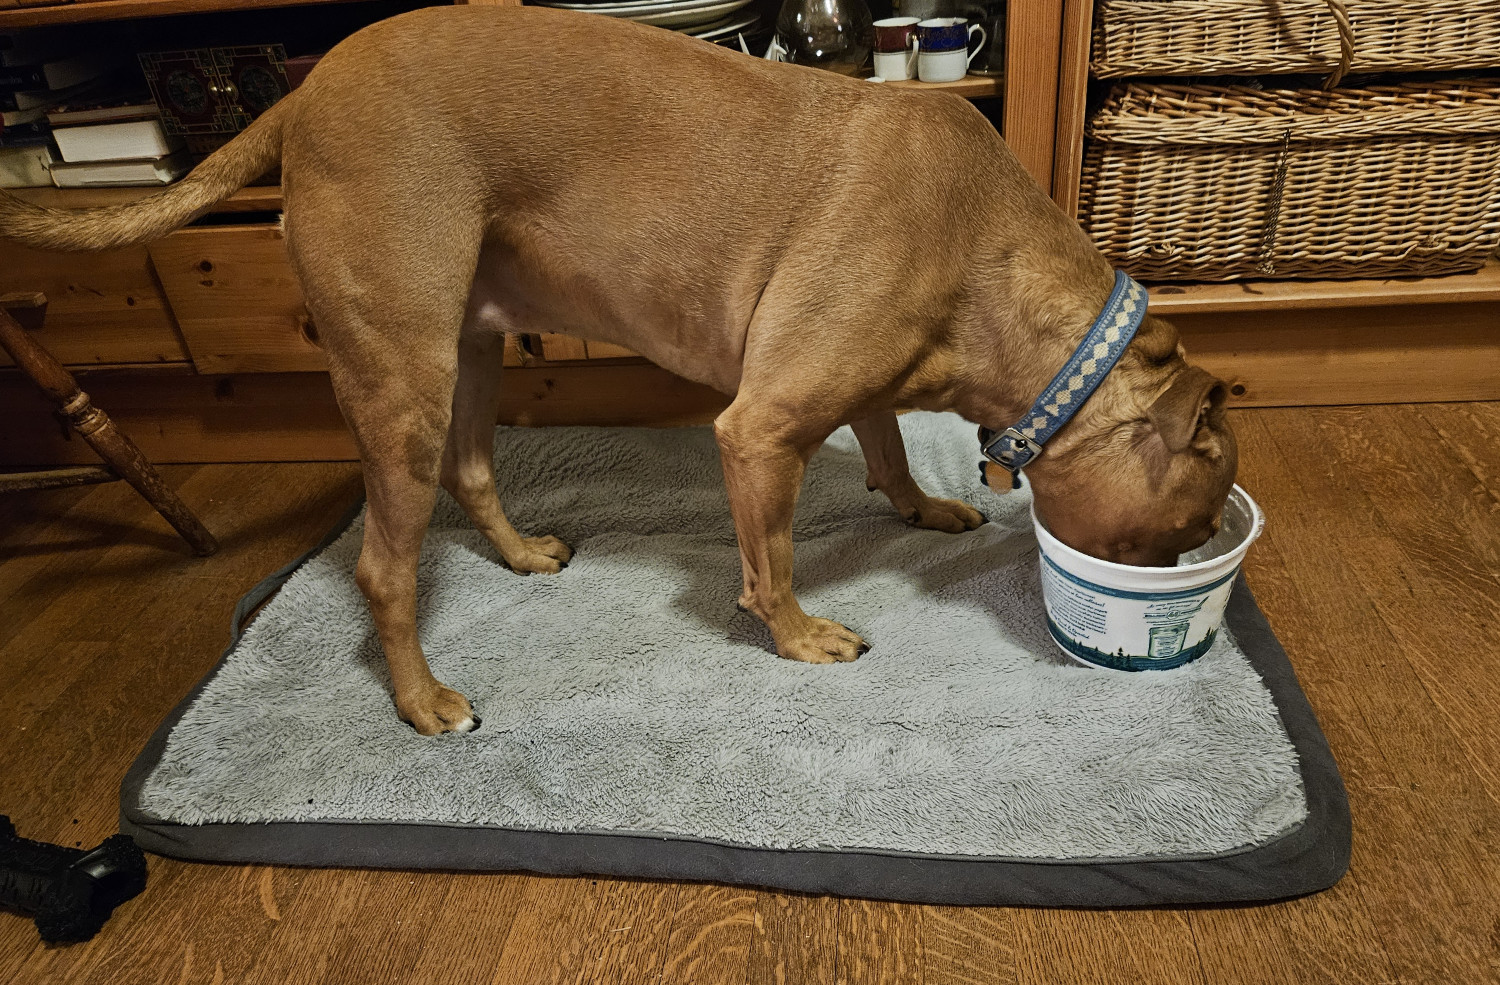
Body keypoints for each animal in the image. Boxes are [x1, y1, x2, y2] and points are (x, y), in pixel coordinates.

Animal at [0, 5, 1230, 728]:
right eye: (1186, 527)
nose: (1176, 576)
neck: (991, 263)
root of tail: (302, 89)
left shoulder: (846, 388)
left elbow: (884, 450)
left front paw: (922, 506)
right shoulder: (761, 427)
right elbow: (772, 560)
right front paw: (798, 637)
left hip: (473, 349)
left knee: (474, 472)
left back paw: (520, 554)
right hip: (401, 379)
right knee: (382, 567)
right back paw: (425, 700)